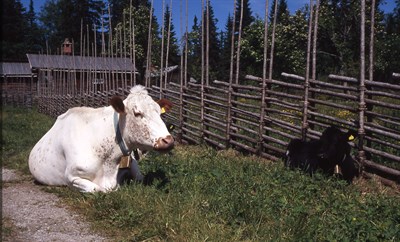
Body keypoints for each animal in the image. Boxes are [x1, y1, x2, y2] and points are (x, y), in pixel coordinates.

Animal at [27, 85, 173, 193]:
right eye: (137, 113)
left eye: (159, 112)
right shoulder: (71, 177)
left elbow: (139, 178)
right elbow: (99, 189)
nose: (168, 141)